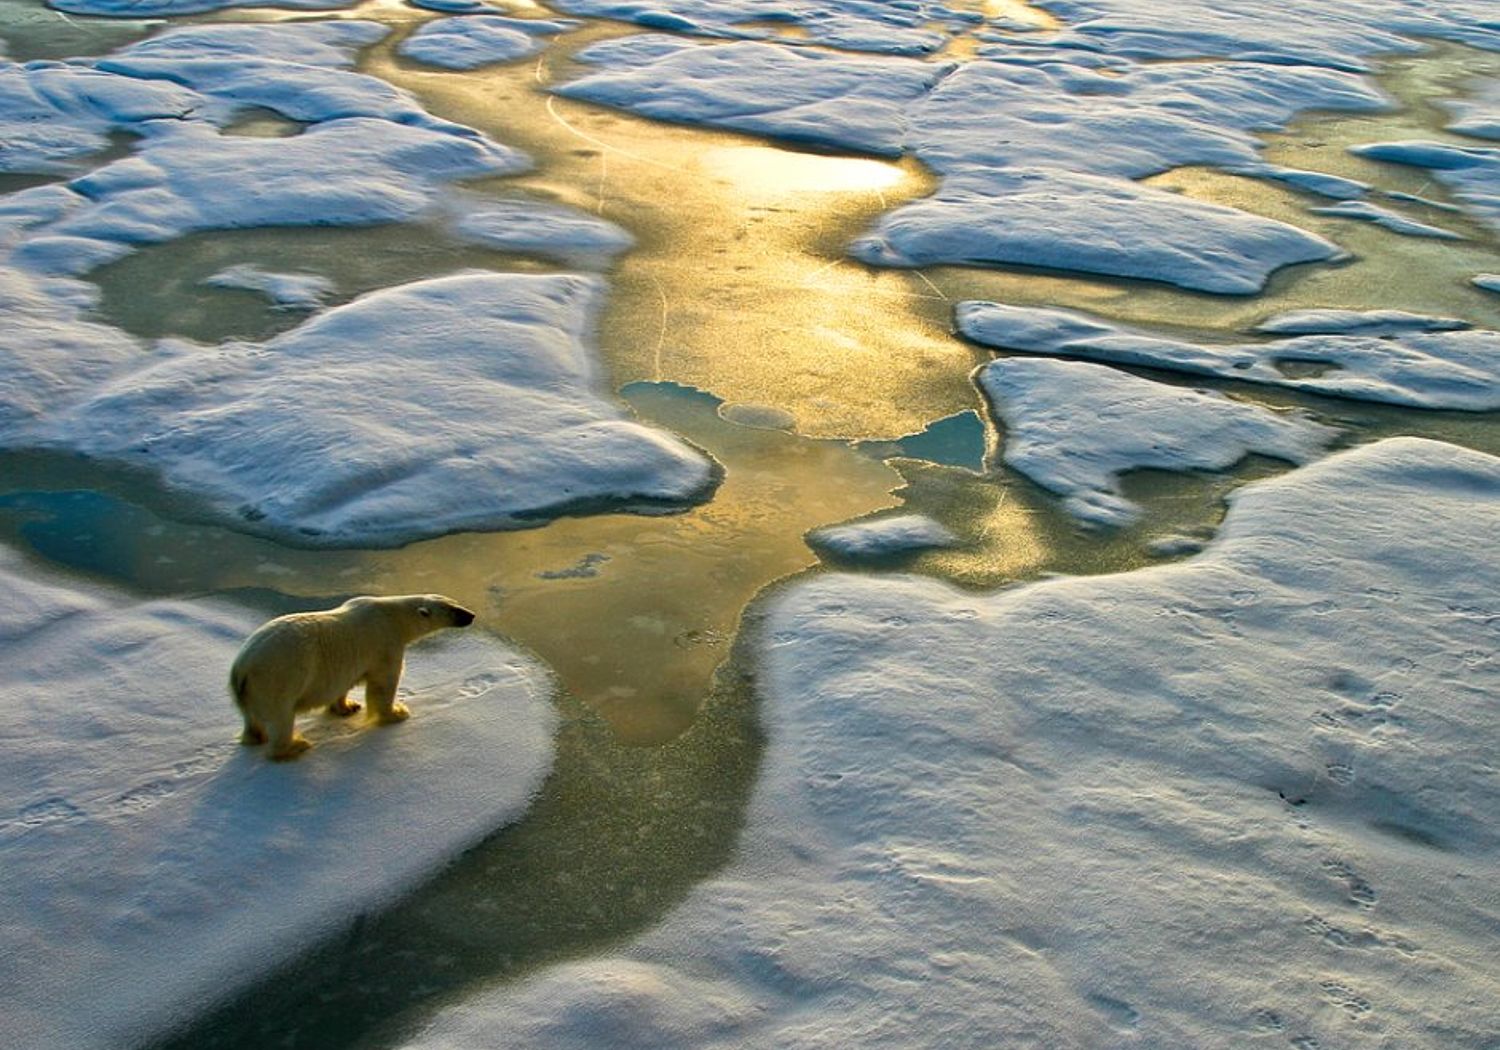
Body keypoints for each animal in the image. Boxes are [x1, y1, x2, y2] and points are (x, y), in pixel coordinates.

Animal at [229, 594, 474, 759]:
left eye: (455, 602)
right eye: (453, 609)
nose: (471, 615)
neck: (392, 616)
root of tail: (241, 667)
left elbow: (343, 685)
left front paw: (348, 707)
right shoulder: (385, 643)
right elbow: (383, 683)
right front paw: (397, 713)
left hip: (248, 691)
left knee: (251, 718)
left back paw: (256, 737)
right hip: (277, 678)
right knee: (281, 717)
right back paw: (295, 746)